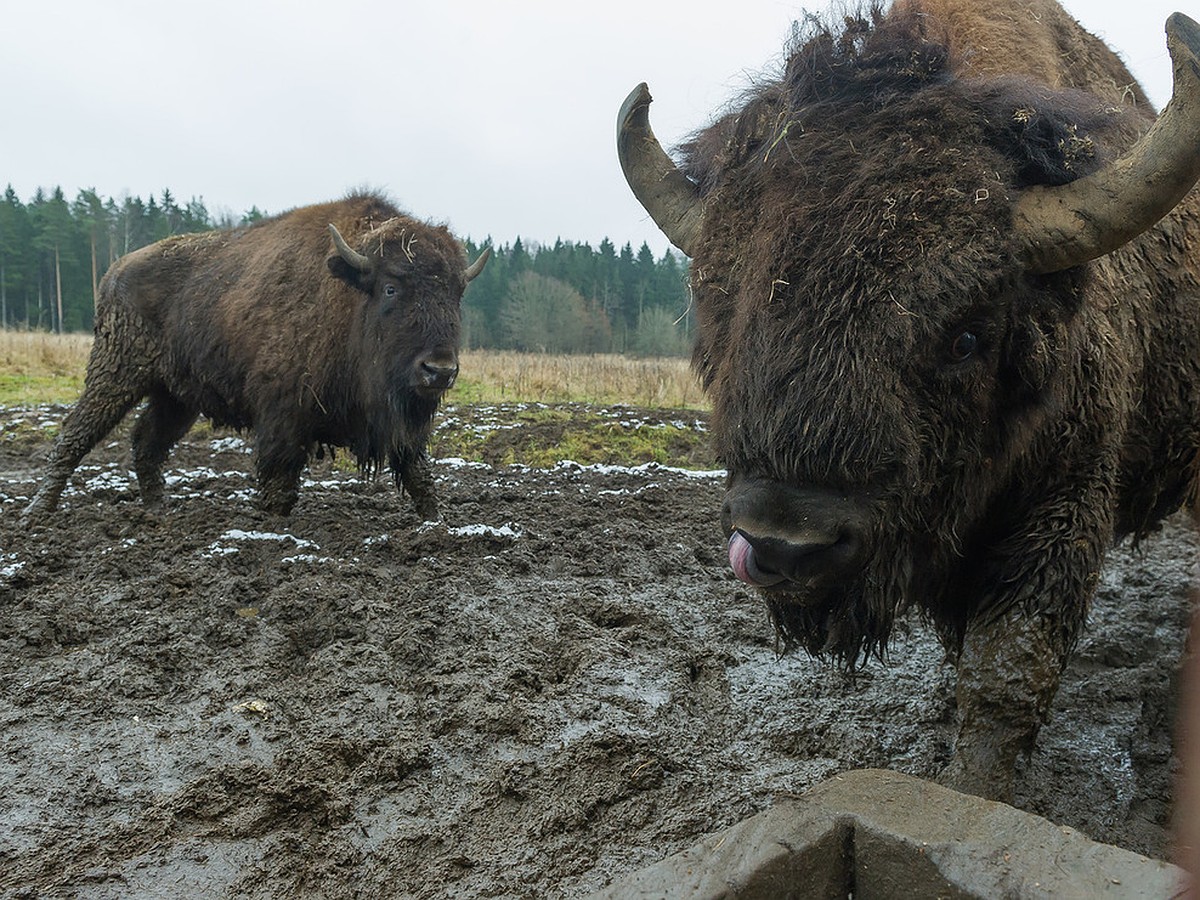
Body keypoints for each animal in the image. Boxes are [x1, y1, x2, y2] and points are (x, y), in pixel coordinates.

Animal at [22, 194, 487, 525]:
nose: (439, 370)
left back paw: (158, 510)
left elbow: (418, 472)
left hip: (176, 397)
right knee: (76, 434)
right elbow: (278, 482)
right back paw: (36, 516)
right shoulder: (282, 417)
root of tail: (114, 270)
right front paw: (270, 525)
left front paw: (438, 522)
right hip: (116, 373)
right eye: (391, 288)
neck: (350, 296)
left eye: (455, 295)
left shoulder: (402, 426)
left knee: (146, 442)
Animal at [619, 0, 1200, 801]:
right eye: (718, 309)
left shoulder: (1061, 506)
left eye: (966, 336)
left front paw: (975, 791)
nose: (783, 542)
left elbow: (1006, 670)